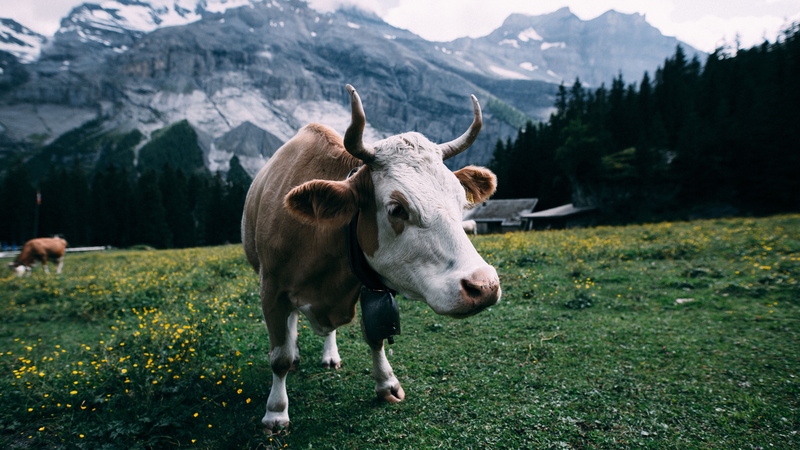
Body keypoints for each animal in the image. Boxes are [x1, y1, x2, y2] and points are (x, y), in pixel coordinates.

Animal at [242, 84, 501, 431]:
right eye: (396, 208)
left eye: (461, 200)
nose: (484, 286)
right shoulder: (271, 290)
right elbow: (279, 357)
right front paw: (275, 412)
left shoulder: (369, 284)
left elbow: (375, 335)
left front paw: (387, 384)